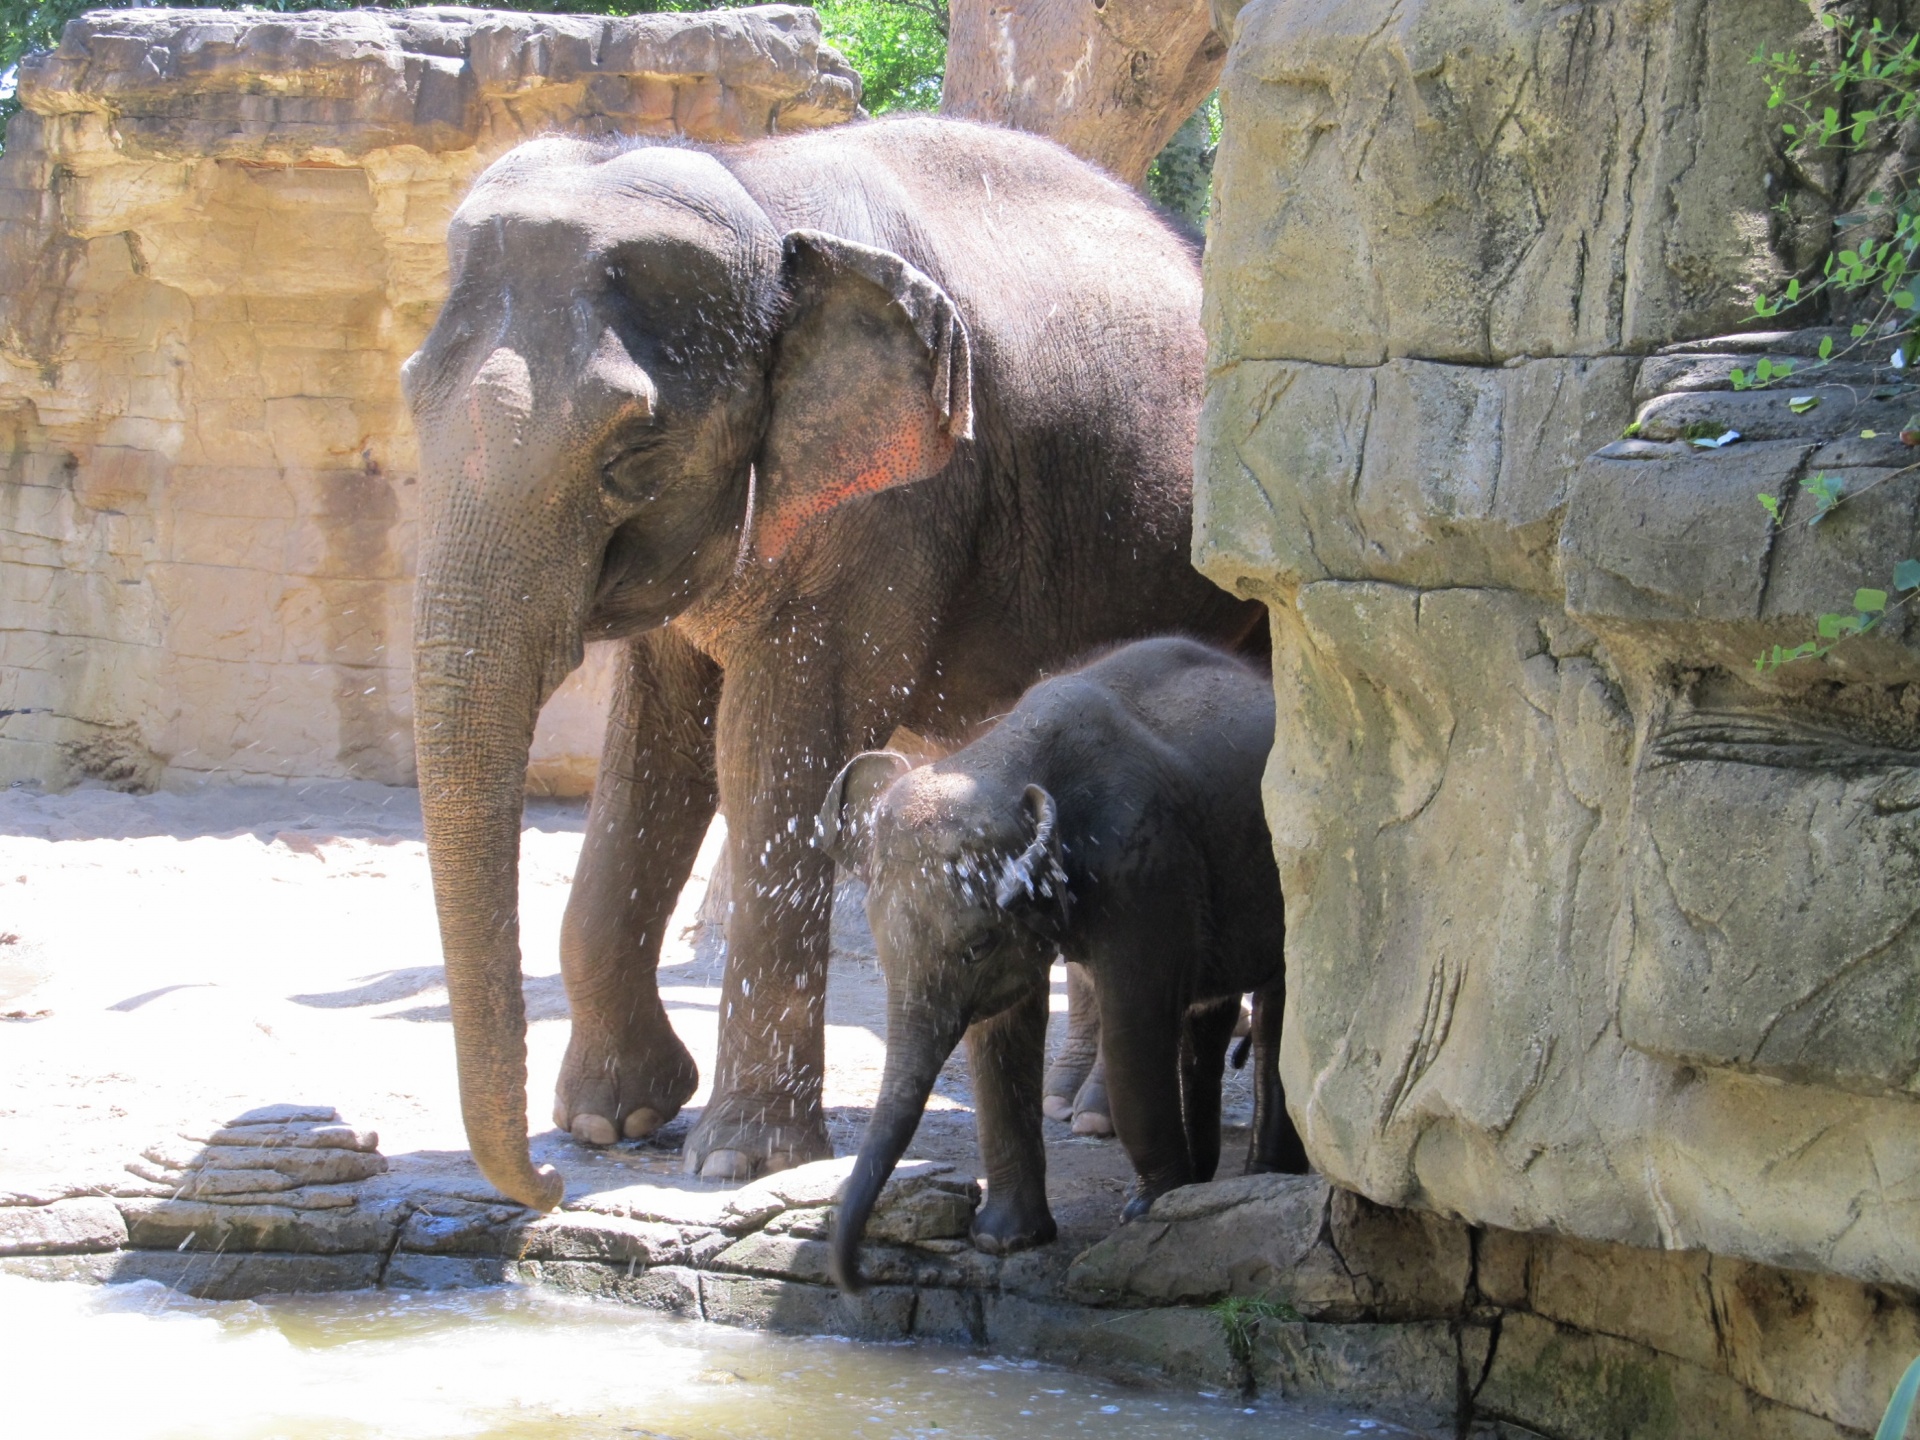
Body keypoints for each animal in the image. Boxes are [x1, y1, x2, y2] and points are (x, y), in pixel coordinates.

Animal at [405, 115, 1259, 1205]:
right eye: (409, 395)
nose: (549, 1186)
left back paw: (1105, 1114)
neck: (756, 192)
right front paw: (612, 1118)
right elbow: (655, 749)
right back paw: (1080, 1104)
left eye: (632, 452)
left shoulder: (893, 503)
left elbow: (778, 744)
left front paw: (738, 1159)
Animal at [817, 637, 1313, 1290]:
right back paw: (1208, 1183)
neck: (1001, 757)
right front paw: (1003, 1240)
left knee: (1282, 1009)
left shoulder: (1147, 867)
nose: (855, 1282)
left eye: (977, 946)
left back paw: (1259, 1180)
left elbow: (1135, 1027)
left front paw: (1147, 1215)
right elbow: (1000, 1036)